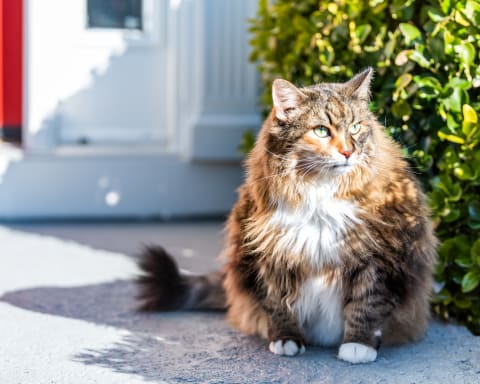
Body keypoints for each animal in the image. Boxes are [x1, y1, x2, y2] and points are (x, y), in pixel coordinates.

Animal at [137, 67, 436, 364]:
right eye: (321, 131)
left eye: (355, 127)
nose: (348, 152)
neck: (320, 190)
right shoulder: (268, 252)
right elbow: (278, 304)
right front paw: (287, 340)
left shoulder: (378, 256)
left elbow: (367, 304)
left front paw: (357, 346)